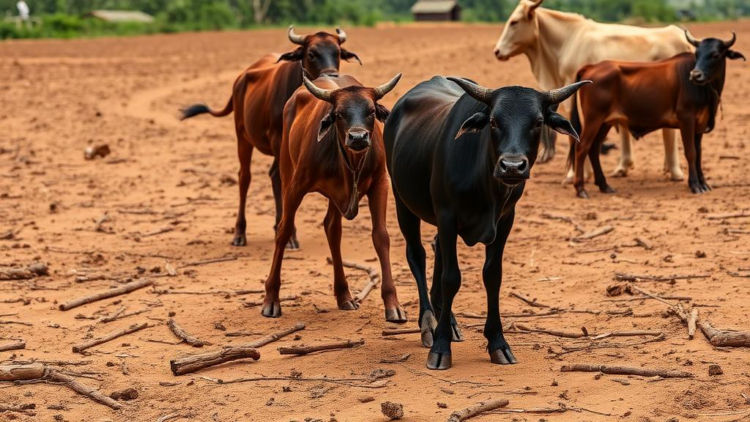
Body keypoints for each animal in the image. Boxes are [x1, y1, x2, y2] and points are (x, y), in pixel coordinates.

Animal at [180, 26, 361, 249]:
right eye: (311, 53)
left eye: (337, 52)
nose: (332, 75)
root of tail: (241, 79)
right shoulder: (278, 141)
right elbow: (280, 181)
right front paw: (289, 234)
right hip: (242, 136)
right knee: (245, 177)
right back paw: (240, 233)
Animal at [261, 73, 407, 324]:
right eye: (339, 113)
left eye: (370, 110)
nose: (357, 137)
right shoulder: (295, 187)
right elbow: (284, 231)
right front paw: (271, 299)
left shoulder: (380, 183)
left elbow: (381, 236)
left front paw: (392, 304)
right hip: (287, 170)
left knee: (332, 229)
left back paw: (344, 295)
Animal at [384, 76, 589, 369]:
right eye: (493, 121)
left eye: (538, 121)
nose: (512, 166)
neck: (486, 187)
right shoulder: (447, 216)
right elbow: (451, 278)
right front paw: (440, 347)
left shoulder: (505, 220)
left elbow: (492, 276)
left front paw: (498, 343)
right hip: (402, 202)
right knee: (417, 255)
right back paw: (428, 324)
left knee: (436, 250)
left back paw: (450, 321)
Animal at [493, 0, 691, 182]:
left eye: (514, 22)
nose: (497, 51)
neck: (567, 41)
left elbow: (575, 134)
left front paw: (576, 174)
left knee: (669, 132)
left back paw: (675, 172)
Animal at [571, 31, 745, 199]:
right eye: (697, 54)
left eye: (715, 55)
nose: (695, 75)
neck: (707, 90)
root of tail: (590, 67)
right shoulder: (686, 119)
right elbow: (691, 153)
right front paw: (695, 185)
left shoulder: (699, 125)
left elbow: (699, 154)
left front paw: (703, 183)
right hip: (593, 119)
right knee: (582, 147)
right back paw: (580, 189)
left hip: (605, 122)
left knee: (594, 148)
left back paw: (604, 185)